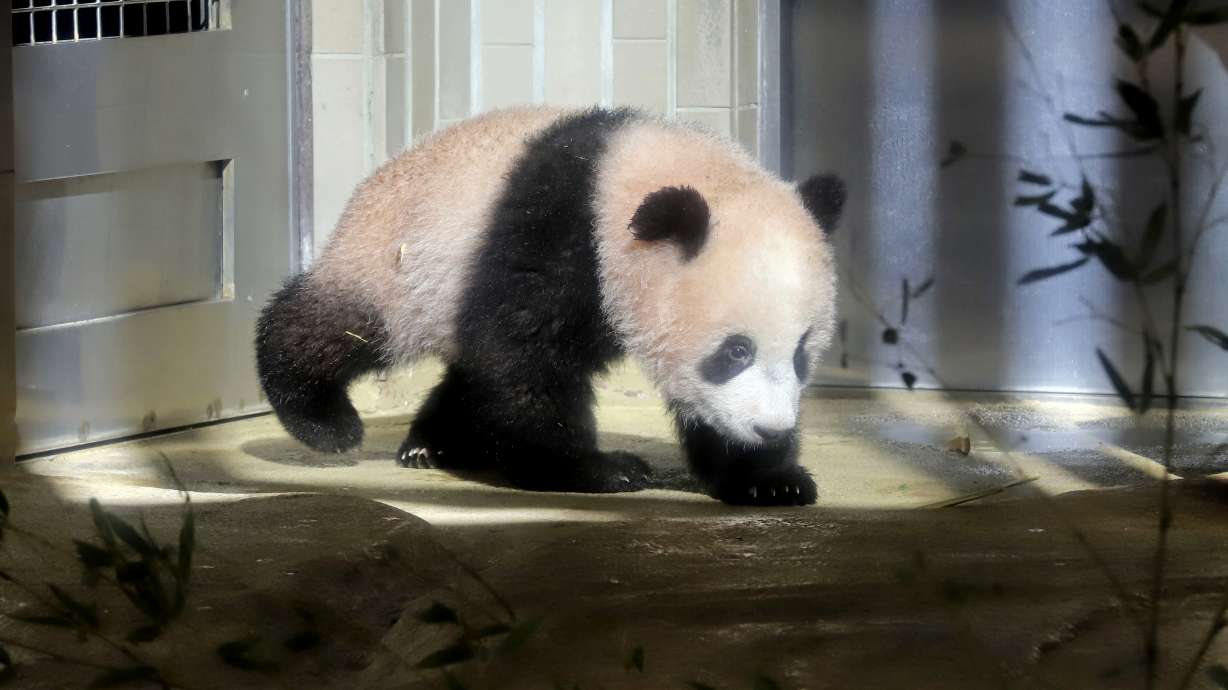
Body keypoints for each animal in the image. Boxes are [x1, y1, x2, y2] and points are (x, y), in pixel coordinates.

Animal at [255, 106, 845, 506]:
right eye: (735, 351)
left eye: (801, 354)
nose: (770, 429)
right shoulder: (554, 230)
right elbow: (525, 358)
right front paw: (597, 470)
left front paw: (767, 478)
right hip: (394, 266)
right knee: (335, 327)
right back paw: (323, 420)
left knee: (468, 366)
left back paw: (433, 443)